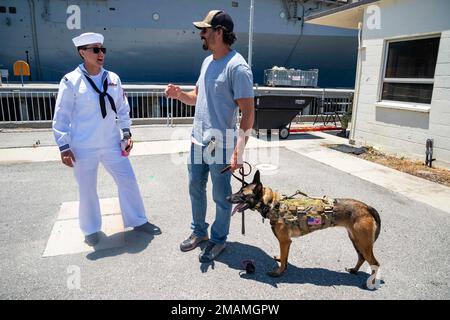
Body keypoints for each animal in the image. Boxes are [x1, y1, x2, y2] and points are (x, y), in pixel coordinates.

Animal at [229, 170, 380, 284]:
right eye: (239, 190)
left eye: (242, 194)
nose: (227, 197)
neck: (273, 204)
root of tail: (366, 207)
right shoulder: (287, 242)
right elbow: (284, 257)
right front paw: (283, 264)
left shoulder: (284, 241)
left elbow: (283, 260)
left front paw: (278, 272)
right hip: (356, 240)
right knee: (362, 258)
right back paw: (354, 270)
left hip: (363, 243)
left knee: (375, 263)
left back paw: (371, 283)